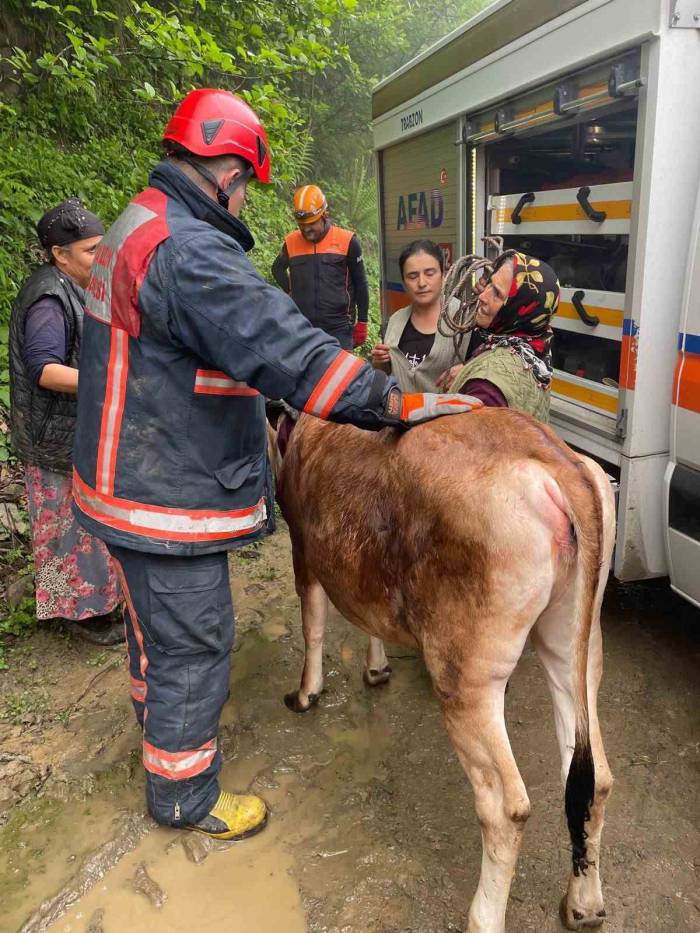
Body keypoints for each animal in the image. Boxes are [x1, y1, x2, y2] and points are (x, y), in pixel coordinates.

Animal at [268, 408, 612, 932]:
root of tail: (558, 460)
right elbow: (369, 620)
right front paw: (376, 669)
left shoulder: (303, 551)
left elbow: (314, 624)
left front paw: (306, 693)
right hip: (575, 645)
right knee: (593, 776)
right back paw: (584, 903)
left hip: (466, 672)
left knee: (506, 808)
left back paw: (484, 917)